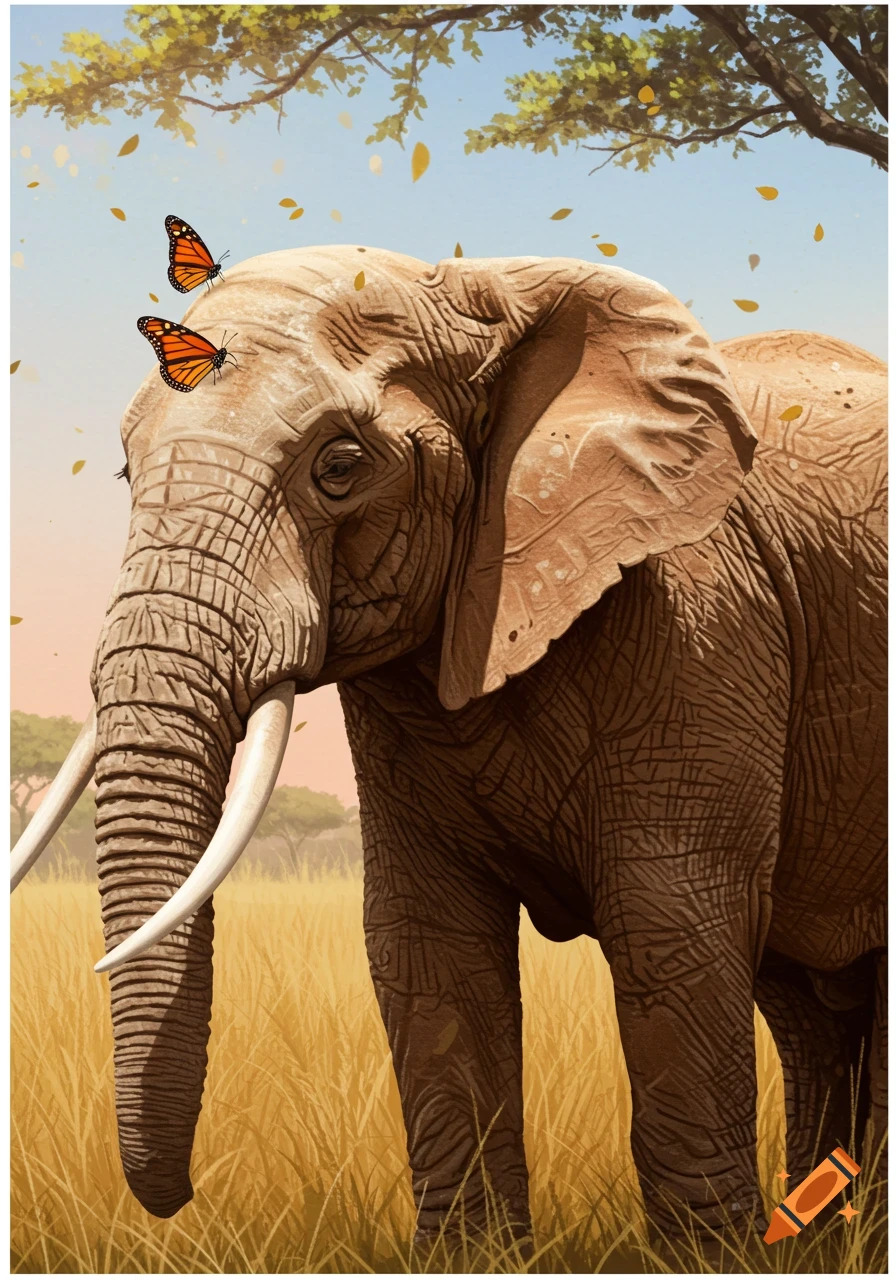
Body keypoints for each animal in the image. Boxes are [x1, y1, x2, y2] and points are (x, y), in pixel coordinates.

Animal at [13, 245, 886, 1247]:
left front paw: (705, 1260)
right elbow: (428, 945)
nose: (178, 1200)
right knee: (801, 1000)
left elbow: (668, 924)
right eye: (124, 473)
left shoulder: (703, 624)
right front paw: (479, 1255)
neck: (482, 291)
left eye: (341, 466)